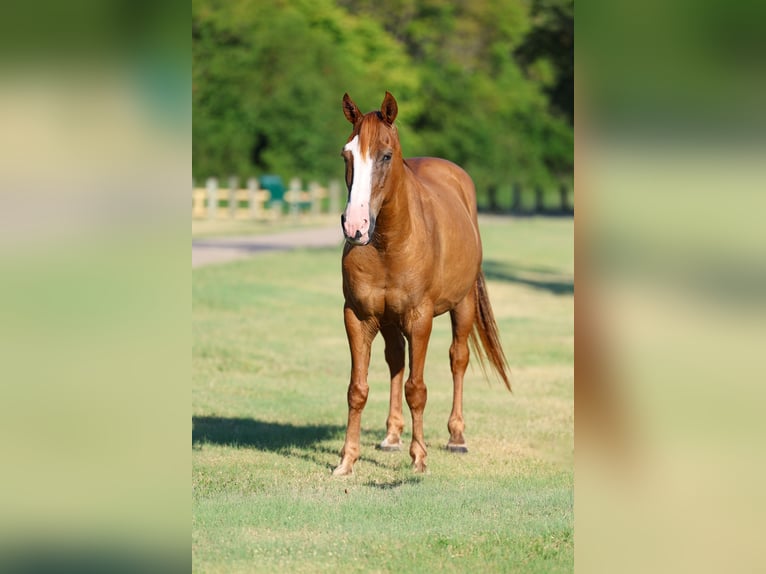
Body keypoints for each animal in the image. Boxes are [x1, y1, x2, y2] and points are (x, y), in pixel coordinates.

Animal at [333, 91, 510, 476]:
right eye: (346, 154)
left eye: (385, 155)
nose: (355, 226)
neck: (388, 243)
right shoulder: (358, 317)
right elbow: (357, 389)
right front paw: (347, 460)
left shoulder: (420, 319)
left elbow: (417, 389)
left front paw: (420, 457)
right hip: (387, 321)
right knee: (396, 361)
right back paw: (391, 436)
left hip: (463, 305)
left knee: (458, 359)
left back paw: (456, 437)